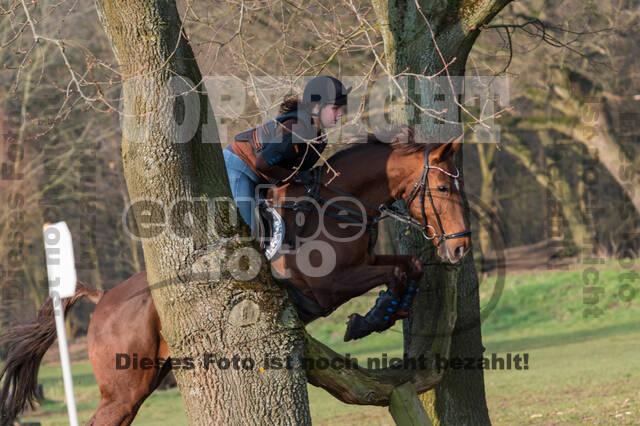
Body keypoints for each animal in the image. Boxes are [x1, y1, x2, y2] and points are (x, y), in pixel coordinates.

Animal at [0, 135, 470, 424]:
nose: (461, 249)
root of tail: (102, 299)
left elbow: (410, 266)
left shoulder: (366, 260)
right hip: (124, 386)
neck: (337, 206)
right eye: (444, 189)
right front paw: (371, 318)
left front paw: (385, 311)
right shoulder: (327, 286)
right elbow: (395, 269)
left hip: (147, 377)